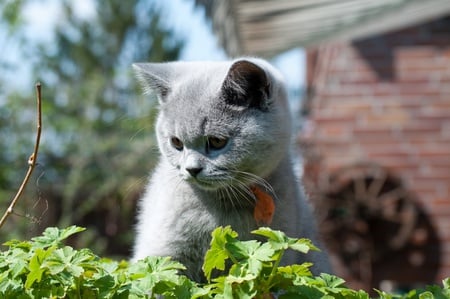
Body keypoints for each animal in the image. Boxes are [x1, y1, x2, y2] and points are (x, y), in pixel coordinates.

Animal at [132, 58, 328, 282]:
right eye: (176, 143)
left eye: (217, 141)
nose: (191, 169)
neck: (224, 204)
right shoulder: (164, 248)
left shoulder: (282, 247)